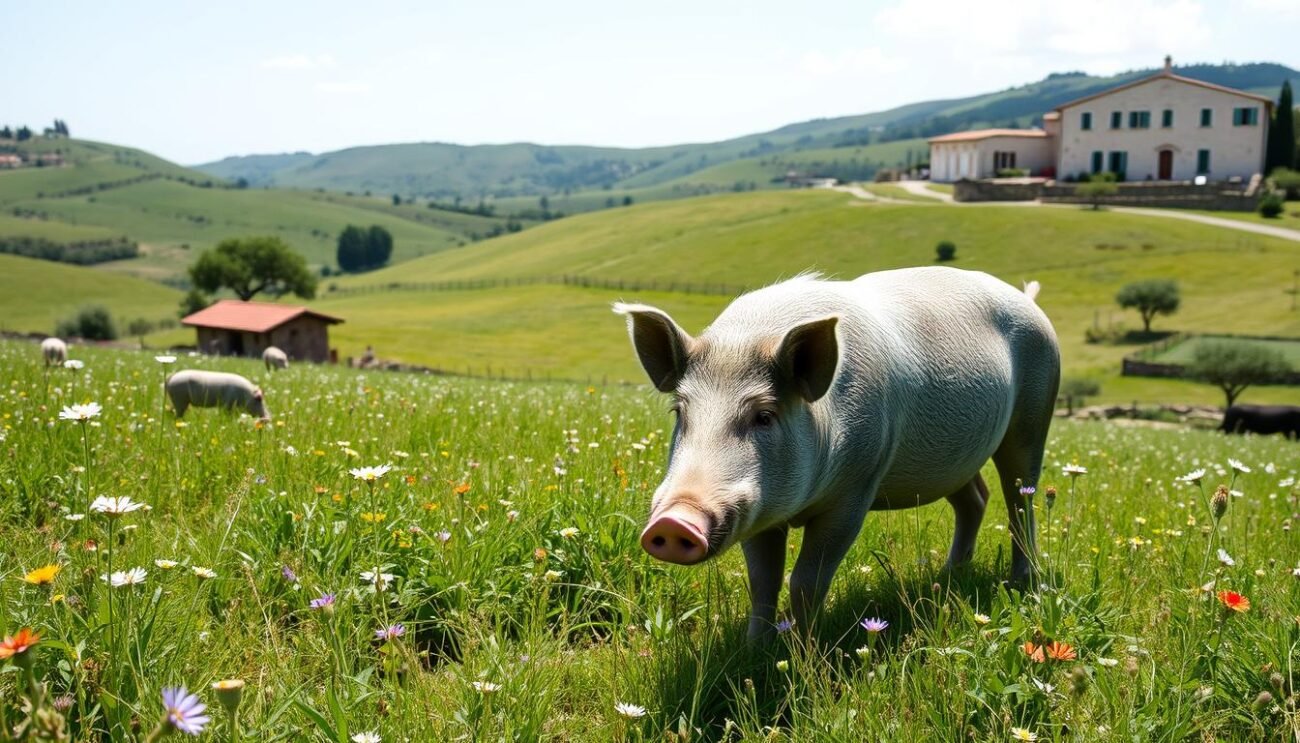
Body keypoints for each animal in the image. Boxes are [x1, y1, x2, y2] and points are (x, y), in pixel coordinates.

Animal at [616, 268, 1055, 644]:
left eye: (764, 416)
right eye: (680, 412)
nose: (675, 521)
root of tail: (1028, 299)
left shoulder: (856, 488)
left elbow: (806, 581)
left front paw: (802, 652)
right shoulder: (759, 511)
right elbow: (763, 580)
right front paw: (754, 650)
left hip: (1034, 415)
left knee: (1019, 501)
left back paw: (1021, 583)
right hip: (955, 460)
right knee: (976, 499)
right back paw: (948, 575)